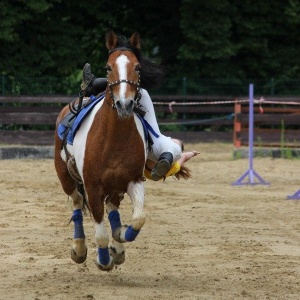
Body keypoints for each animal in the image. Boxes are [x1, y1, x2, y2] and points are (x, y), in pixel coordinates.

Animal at [54, 31, 151, 272]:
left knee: (112, 206)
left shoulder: (133, 180)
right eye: (108, 67)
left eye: (137, 67)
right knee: (77, 203)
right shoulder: (93, 186)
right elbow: (101, 234)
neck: (113, 138)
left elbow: (138, 219)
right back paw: (79, 248)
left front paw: (120, 241)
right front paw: (104, 259)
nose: (124, 104)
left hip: (116, 187)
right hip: (66, 178)